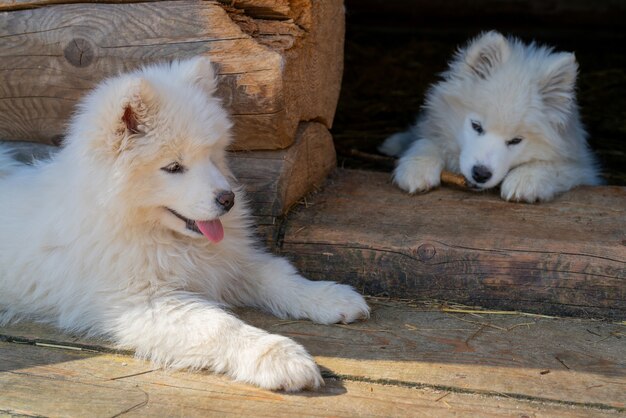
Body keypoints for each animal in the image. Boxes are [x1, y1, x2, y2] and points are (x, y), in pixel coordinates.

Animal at [0, 58, 368, 392]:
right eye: (174, 167)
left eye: (212, 155)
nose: (228, 200)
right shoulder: (143, 301)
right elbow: (218, 326)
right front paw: (279, 358)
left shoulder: (230, 263)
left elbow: (279, 276)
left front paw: (329, 297)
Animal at [376, 31, 600, 202]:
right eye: (476, 126)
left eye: (515, 141)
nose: (481, 174)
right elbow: (428, 140)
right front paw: (416, 167)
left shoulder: (584, 170)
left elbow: (555, 166)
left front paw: (526, 179)